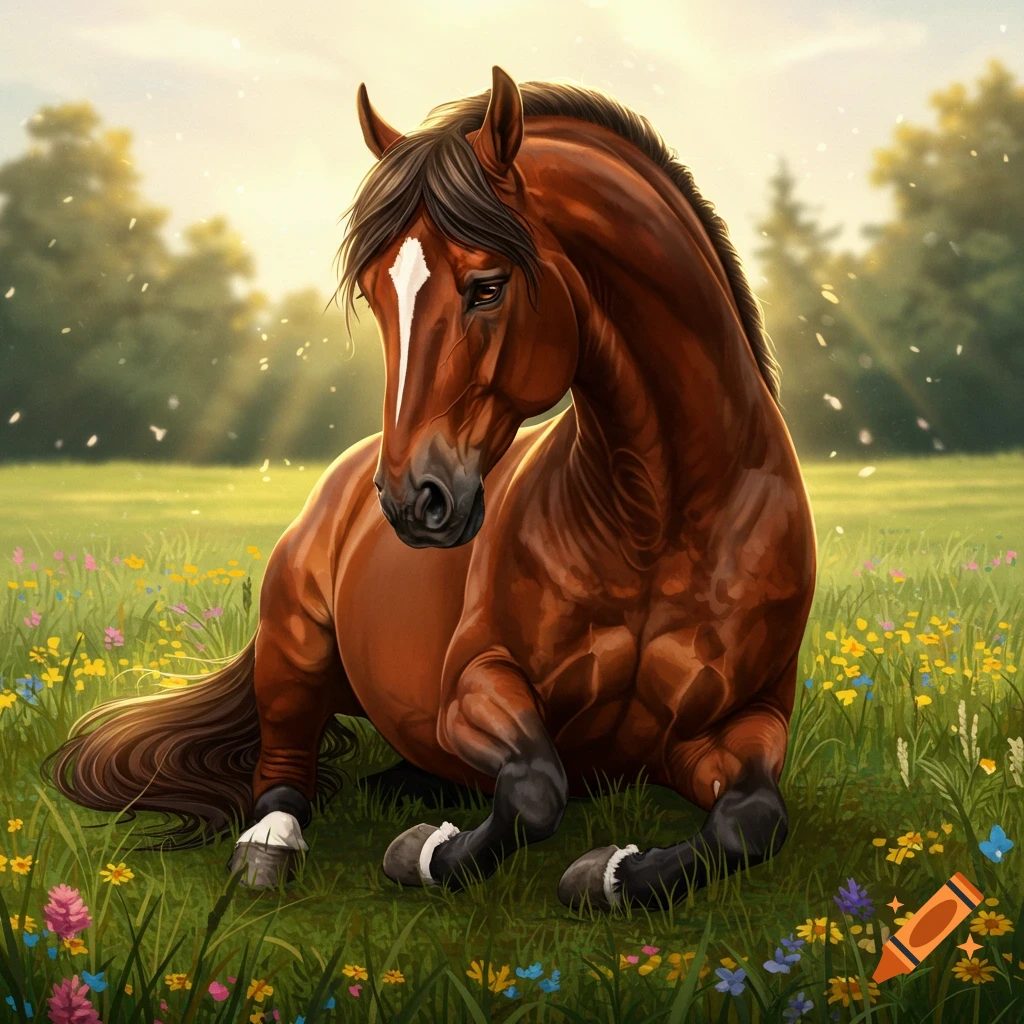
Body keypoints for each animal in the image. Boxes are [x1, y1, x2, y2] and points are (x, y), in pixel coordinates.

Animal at [47, 67, 816, 910]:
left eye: (487, 286)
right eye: (374, 293)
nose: (414, 500)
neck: (661, 516)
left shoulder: (744, 717)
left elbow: (753, 820)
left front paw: (610, 872)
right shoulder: (473, 686)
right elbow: (535, 787)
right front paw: (421, 852)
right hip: (294, 641)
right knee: (283, 764)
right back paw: (270, 847)